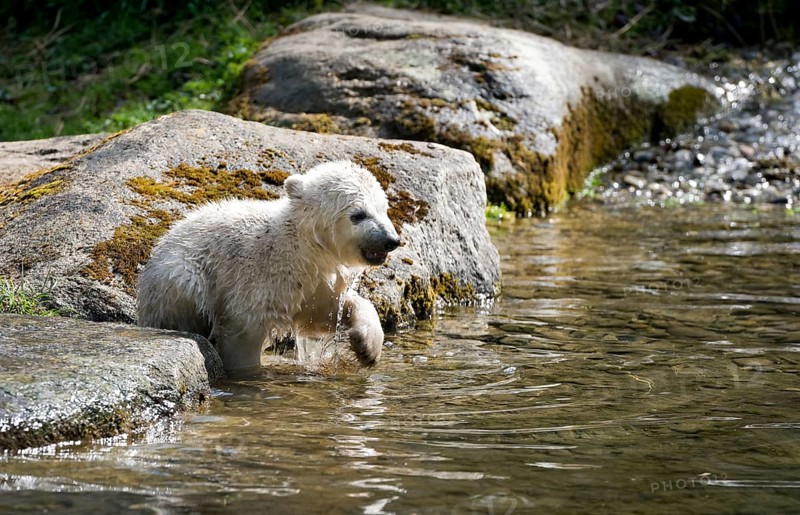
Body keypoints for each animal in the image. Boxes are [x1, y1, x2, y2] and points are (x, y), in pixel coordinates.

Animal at [136, 160, 401, 374]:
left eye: (383, 209)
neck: (302, 243)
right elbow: (243, 332)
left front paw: (366, 347)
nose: (391, 240)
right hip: (181, 276)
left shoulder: (312, 278)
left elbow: (322, 311)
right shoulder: (260, 276)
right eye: (358, 214)